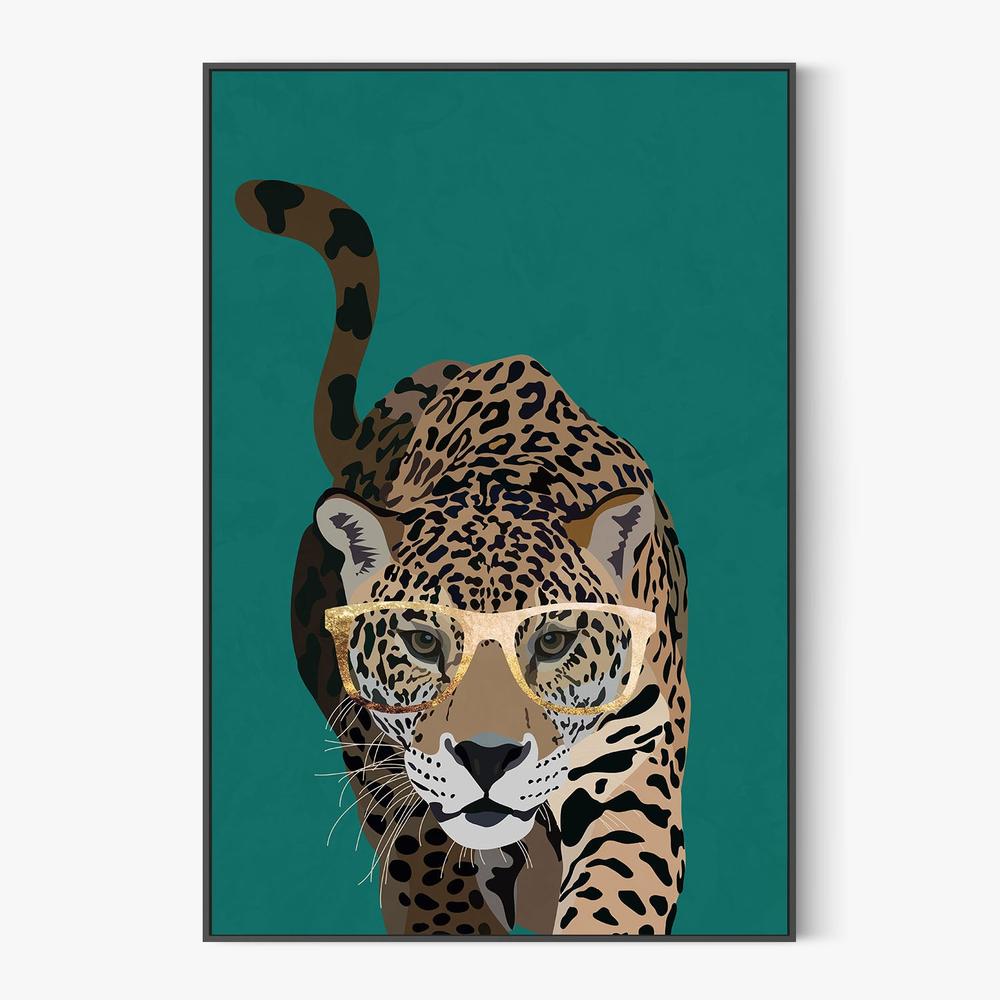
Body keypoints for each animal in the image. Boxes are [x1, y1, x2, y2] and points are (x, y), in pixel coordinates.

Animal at [235, 178, 690, 936]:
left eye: (554, 642)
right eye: (422, 641)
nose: (487, 756)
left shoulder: (635, 768)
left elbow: (616, 895)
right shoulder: (392, 771)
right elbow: (431, 878)